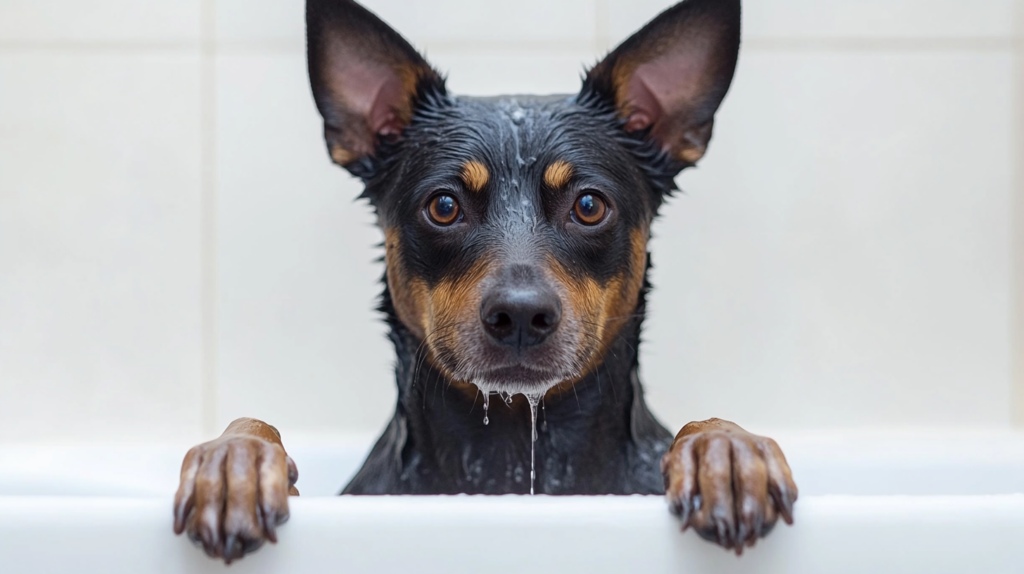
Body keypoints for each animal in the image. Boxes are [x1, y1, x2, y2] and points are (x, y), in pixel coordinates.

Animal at [174, 0, 798, 564]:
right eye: (444, 206)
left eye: (589, 205)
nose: (520, 315)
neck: (511, 460)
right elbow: (253, 424)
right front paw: (234, 464)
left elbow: (706, 423)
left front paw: (725, 450)